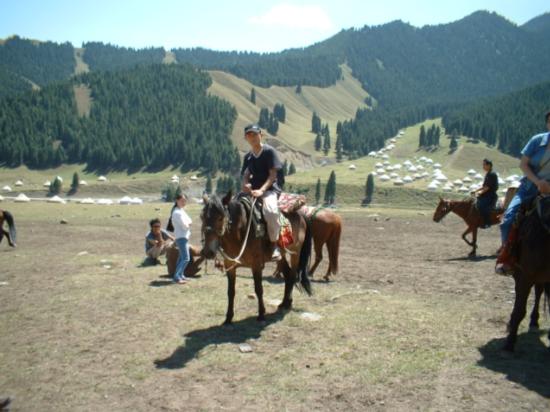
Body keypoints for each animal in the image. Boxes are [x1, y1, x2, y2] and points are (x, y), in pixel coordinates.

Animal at [200, 191, 312, 324]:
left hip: (295, 253)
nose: (208, 252)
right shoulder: (230, 266)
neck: (241, 233)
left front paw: (261, 314)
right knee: (287, 274)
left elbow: (259, 289)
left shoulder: (256, 266)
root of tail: (301, 215)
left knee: (292, 275)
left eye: (220, 217)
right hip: (282, 256)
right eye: (202, 217)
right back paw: (285, 303)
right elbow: (230, 291)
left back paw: (286, 304)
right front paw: (228, 318)